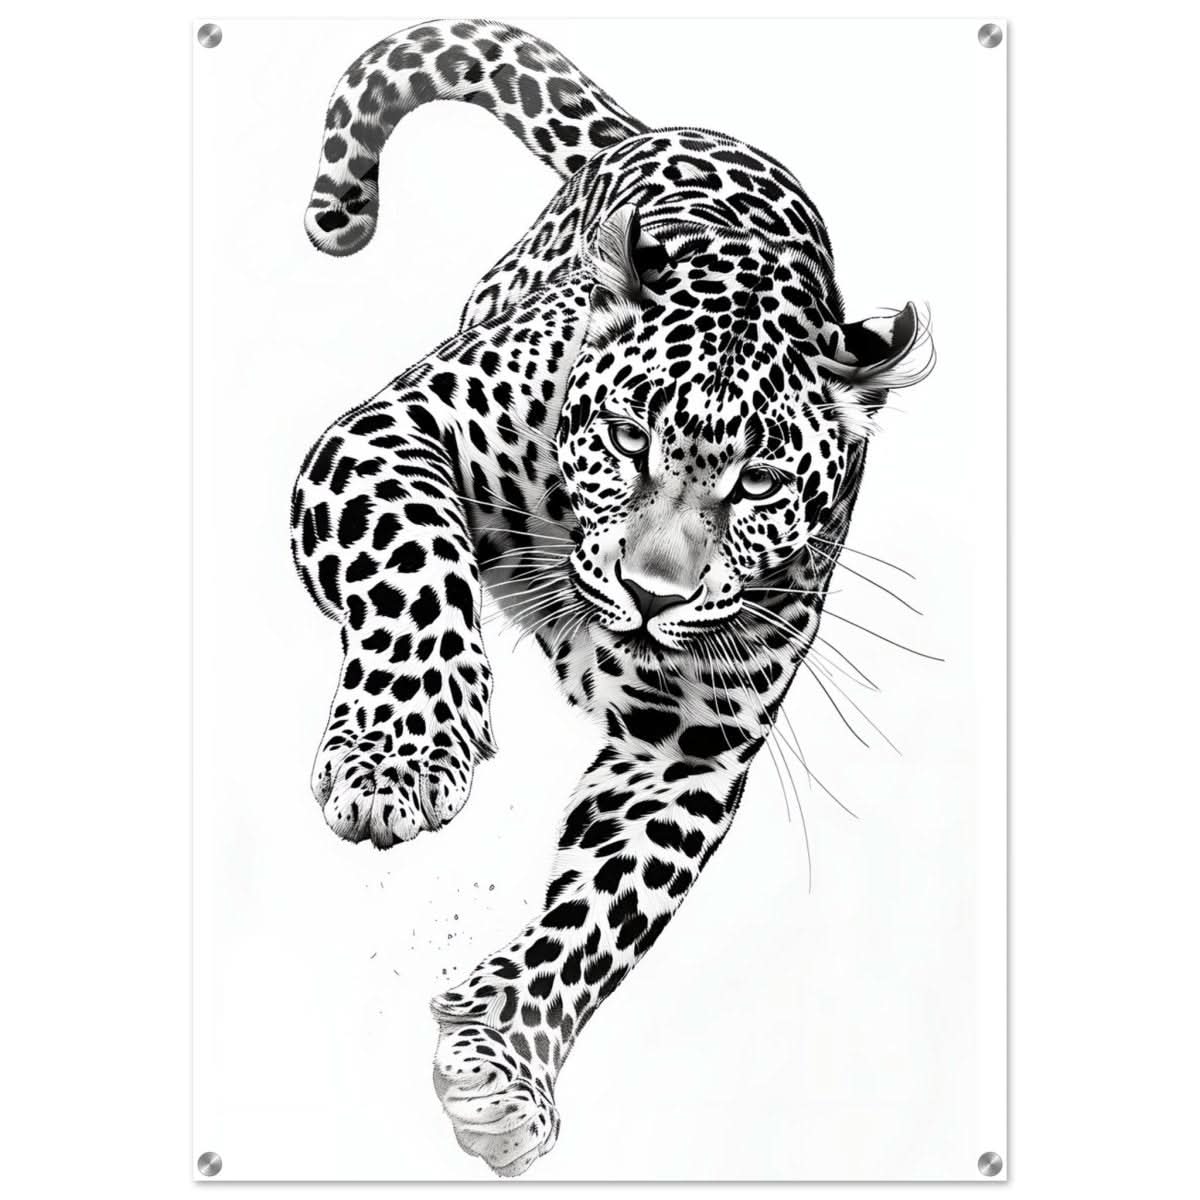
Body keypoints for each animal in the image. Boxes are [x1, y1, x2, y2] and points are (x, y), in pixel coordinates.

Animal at [292, 17, 935, 1177]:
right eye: (630, 438)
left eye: (759, 484)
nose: (647, 593)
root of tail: (668, 126)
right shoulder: (386, 433)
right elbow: (417, 570)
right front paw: (399, 758)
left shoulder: (687, 746)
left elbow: (604, 910)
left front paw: (505, 1061)